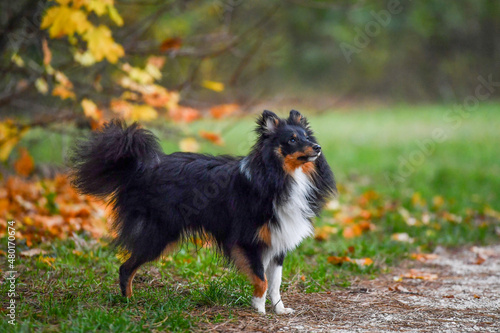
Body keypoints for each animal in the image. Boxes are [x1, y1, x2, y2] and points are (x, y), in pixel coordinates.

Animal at [70, 109, 334, 314]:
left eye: (306, 137)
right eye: (292, 140)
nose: (318, 147)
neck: (281, 175)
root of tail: (141, 168)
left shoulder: (278, 242)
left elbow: (275, 283)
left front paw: (279, 310)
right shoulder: (247, 241)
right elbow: (261, 278)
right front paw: (259, 309)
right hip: (160, 234)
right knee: (125, 267)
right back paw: (129, 302)